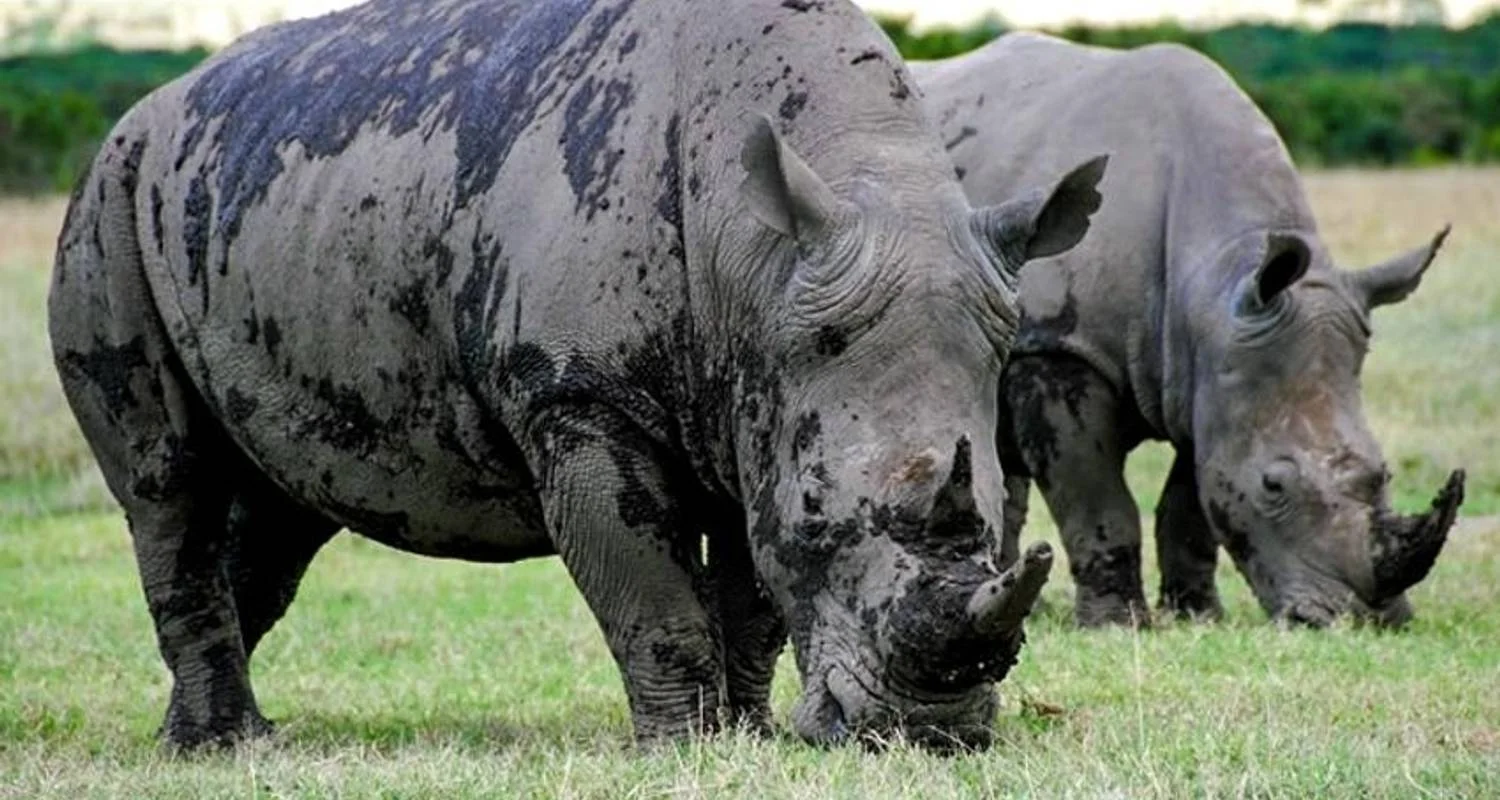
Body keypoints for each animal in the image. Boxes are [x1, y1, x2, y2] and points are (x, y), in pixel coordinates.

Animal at [49, 0, 1110, 750]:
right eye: (823, 526)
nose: (929, 737)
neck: (764, 265)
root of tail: (138, 116)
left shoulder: (759, 396)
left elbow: (750, 597)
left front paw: (749, 736)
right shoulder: (577, 395)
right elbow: (653, 589)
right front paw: (683, 749)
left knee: (279, 513)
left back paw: (211, 737)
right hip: (106, 205)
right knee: (169, 487)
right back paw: (222, 747)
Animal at [913, 33, 1464, 628]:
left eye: (1383, 474)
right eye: (1273, 485)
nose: (1367, 619)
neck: (1214, 284)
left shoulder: (1209, 375)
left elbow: (1193, 502)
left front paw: (1198, 616)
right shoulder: (1061, 350)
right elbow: (1098, 501)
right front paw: (1118, 623)